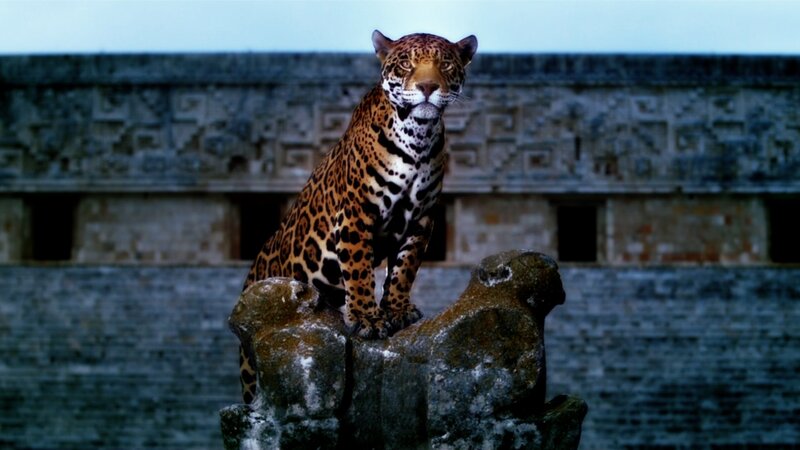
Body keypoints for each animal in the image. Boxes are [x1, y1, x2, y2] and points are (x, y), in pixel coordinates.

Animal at [238, 30, 478, 404]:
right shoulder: (356, 213)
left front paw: (396, 310)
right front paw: (367, 317)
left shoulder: (421, 219)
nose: (427, 86)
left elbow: (404, 270)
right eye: (406, 63)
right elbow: (360, 270)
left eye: (446, 64)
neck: (418, 137)